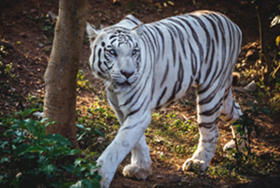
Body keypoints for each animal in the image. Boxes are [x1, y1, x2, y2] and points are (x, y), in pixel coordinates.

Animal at [86, 10, 243, 188]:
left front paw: (97, 178)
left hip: (211, 92)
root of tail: (233, 24)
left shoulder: (138, 112)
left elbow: (117, 147)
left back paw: (198, 162)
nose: (128, 73)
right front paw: (141, 168)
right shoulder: (123, 111)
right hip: (223, 97)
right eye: (112, 52)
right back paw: (240, 147)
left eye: (134, 52)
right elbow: (136, 142)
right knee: (238, 112)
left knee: (211, 131)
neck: (113, 86)